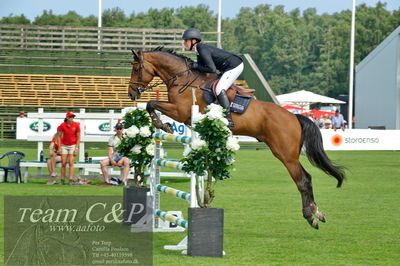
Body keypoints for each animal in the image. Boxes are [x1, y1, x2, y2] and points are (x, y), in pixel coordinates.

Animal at [127, 47, 344, 229]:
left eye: (136, 68)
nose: (131, 94)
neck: (184, 79)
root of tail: (294, 117)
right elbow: (151, 105)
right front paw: (162, 124)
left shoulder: (180, 112)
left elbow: (152, 104)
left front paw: (162, 124)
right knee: (306, 178)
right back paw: (317, 213)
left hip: (286, 154)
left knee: (303, 180)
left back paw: (311, 216)